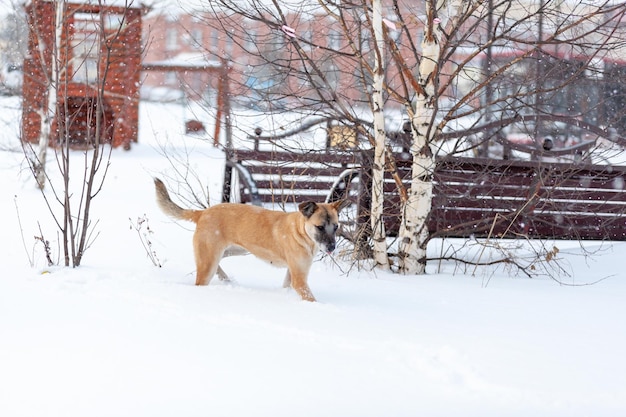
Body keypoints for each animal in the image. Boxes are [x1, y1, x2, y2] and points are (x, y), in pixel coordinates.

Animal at [152, 177, 346, 300]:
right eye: (320, 227)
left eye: (336, 227)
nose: (331, 247)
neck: (300, 231)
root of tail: (203, 213)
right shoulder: (299, 280)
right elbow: (310, 297)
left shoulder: (293, 274)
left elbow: (287, 286)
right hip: (210, 259)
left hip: (228, 252)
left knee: (214, 267)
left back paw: (225, 279)